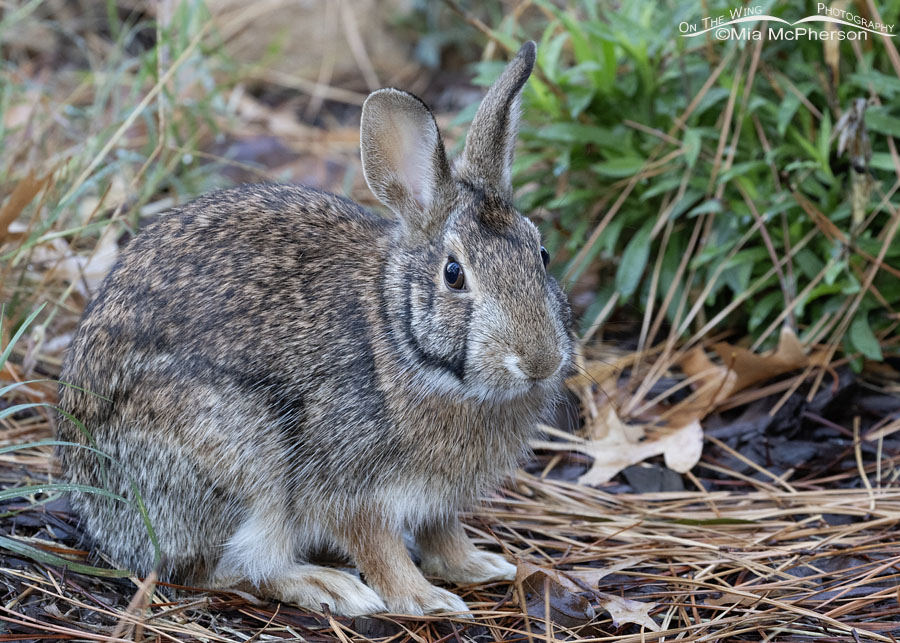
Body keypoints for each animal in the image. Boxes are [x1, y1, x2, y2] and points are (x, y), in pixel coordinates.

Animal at [58, 41, 576, 620]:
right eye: (453, 274)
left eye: (542, 254)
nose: (539, 361)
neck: (400, 339)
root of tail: (97, 516)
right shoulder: (349, 486)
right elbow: (378, 546)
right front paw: (425, 600)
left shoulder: (438, 501)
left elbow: (443, 534)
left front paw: (478, 567)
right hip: (234, 457)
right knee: (223, 570)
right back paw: (326, 585)